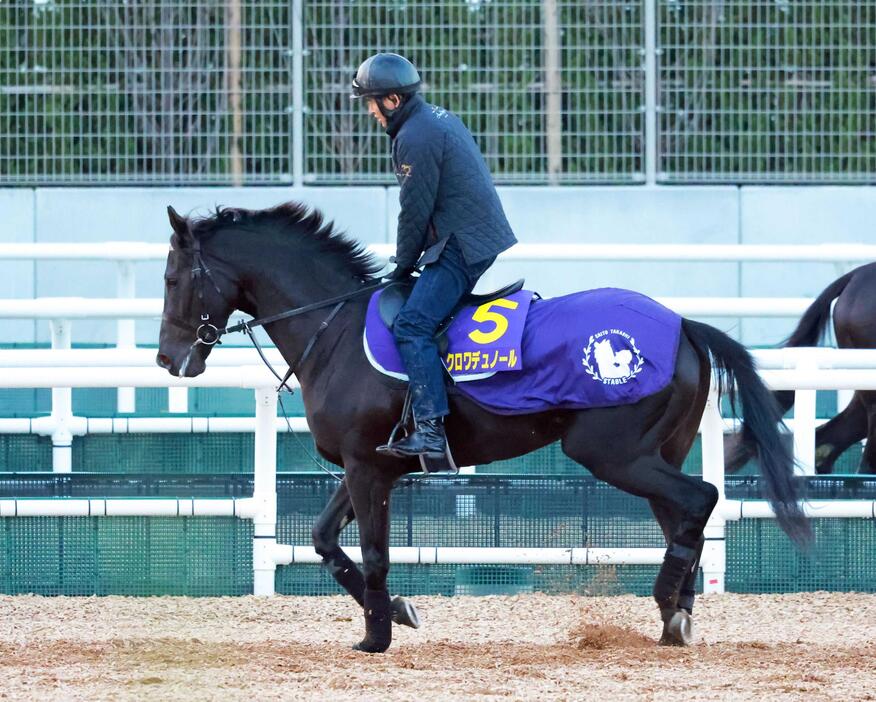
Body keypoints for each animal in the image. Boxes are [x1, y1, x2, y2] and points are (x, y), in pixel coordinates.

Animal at [154, 202, 812, 656]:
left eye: (172, 280)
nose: (167, 359)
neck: (332, 326)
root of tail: (682, 325)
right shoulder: (369, 465)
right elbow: (323, 541)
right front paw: (397, 613)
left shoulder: (368, 469)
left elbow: (374, 553)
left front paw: (377, 637)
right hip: (655, 453)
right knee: (685, 514)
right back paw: (678, 616)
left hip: (613, 454)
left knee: (699, 499)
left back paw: (670, 610)